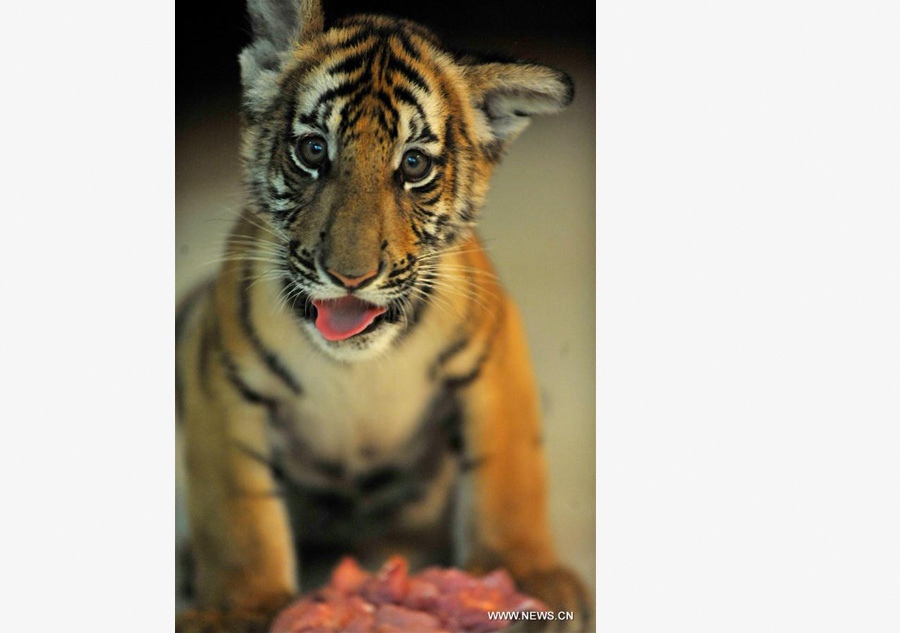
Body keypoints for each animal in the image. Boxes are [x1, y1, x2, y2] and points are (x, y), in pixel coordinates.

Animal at [175, 0, 592, 630]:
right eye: (313, 151)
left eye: (413, 165)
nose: (351, 276)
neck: (359, 365)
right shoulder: (219, 375)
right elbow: (236, 511)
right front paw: (241, 608)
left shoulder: (495, 354)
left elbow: (508, 472)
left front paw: (523, 576)